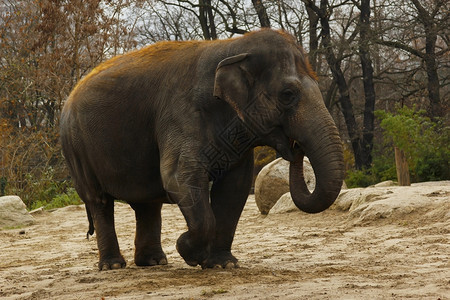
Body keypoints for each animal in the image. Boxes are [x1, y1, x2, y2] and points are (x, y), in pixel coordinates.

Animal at [59, 29, 344, 270]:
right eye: (288, 94)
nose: (295, 148)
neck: (232, 47)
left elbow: (234, 188)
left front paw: (222, 264)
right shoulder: (180, 115)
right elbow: (179, 178)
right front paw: (189, 252)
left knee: (147, 204)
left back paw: (153, 262)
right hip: (75, 148)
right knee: (99, 201)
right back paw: (114, 266)